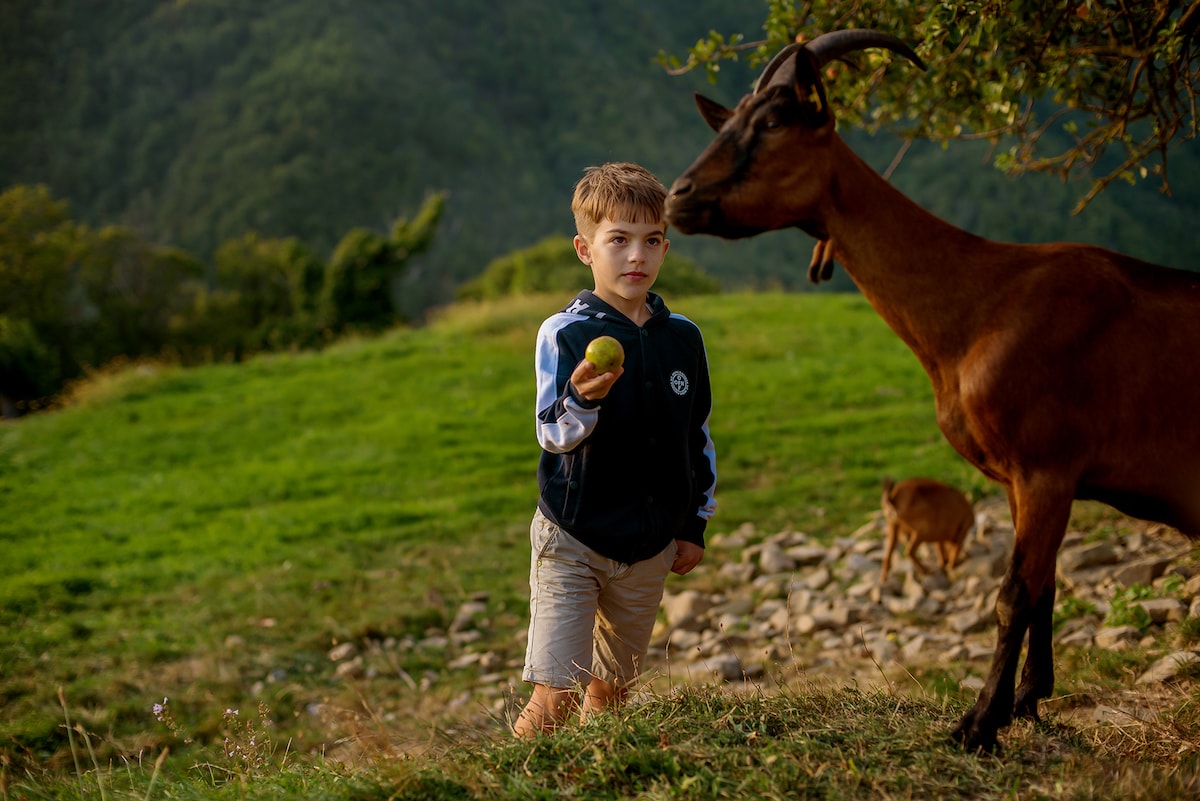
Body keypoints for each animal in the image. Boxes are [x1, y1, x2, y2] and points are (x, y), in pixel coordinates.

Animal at [667, 31, 1200, 753]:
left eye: (774, 122)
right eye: (726, 122)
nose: (677, 196)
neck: (983, 301)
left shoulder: (1047, 467)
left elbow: (1013, 594)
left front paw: (977, 724)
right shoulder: (1022, 480)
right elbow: (1044, 586)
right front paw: (1027, 700)